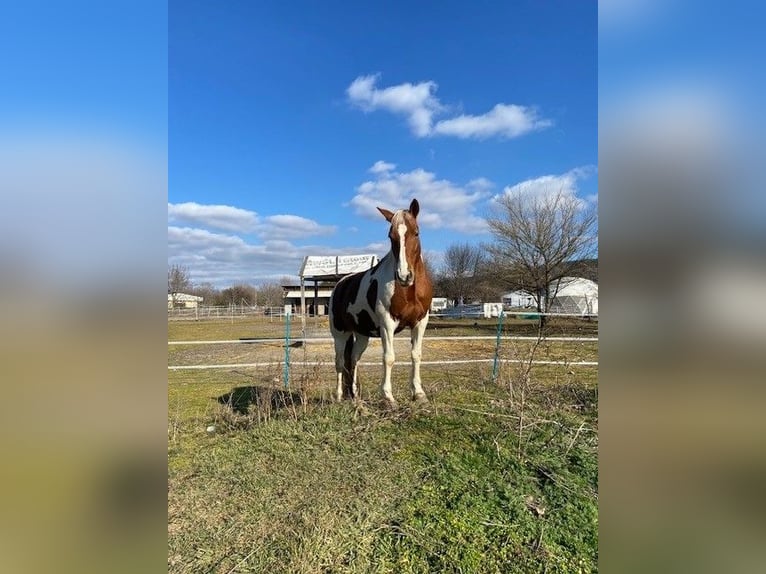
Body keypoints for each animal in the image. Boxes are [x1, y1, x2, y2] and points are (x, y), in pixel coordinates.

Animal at [329, 198, 433, 407]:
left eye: (416, 232)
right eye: (390, 236)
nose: (404, 276)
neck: (409, 290)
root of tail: (340, 284)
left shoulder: (420, 322)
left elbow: (416, 355)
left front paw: (419, 394)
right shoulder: (387, 323)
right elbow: (388, 358)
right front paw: (387, 397)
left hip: (361, 335)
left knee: (353, 360)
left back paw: (354, 395)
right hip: (340, 334)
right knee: (339, 362)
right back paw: (338, 396)